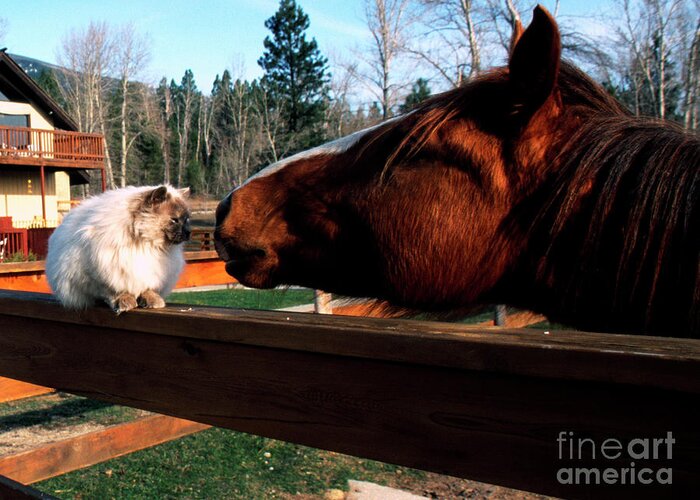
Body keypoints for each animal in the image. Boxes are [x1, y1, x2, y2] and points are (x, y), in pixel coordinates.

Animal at [46, 186, 191, 314]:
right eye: (174, 220)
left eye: (186, 220)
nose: (188, 232)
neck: (145, 245)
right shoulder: (98, 276)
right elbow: (114, 292)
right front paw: (125, 301)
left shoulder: (151, 275)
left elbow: (147, 288)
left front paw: (151, 300)